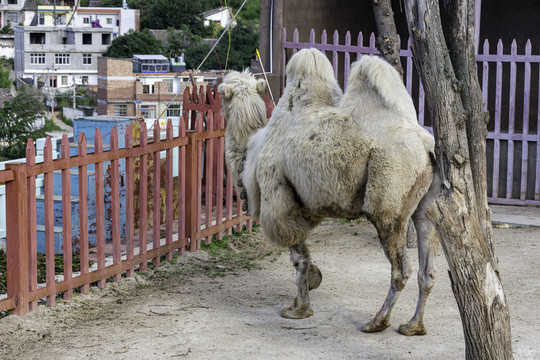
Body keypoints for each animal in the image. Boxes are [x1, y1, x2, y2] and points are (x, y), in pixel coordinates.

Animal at [218, 49, 438, 336]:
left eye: (221, 92)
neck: (251, 148)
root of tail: (426, 145)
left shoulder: (279, 200)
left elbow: (298, 257)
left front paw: (299, 308)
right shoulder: (303, 204)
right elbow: (301, 253)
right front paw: (309, 287)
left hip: (389, 202)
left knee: (401, 269)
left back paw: (376, 321)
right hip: (423, 205)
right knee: (427, 266)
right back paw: (414, 325)